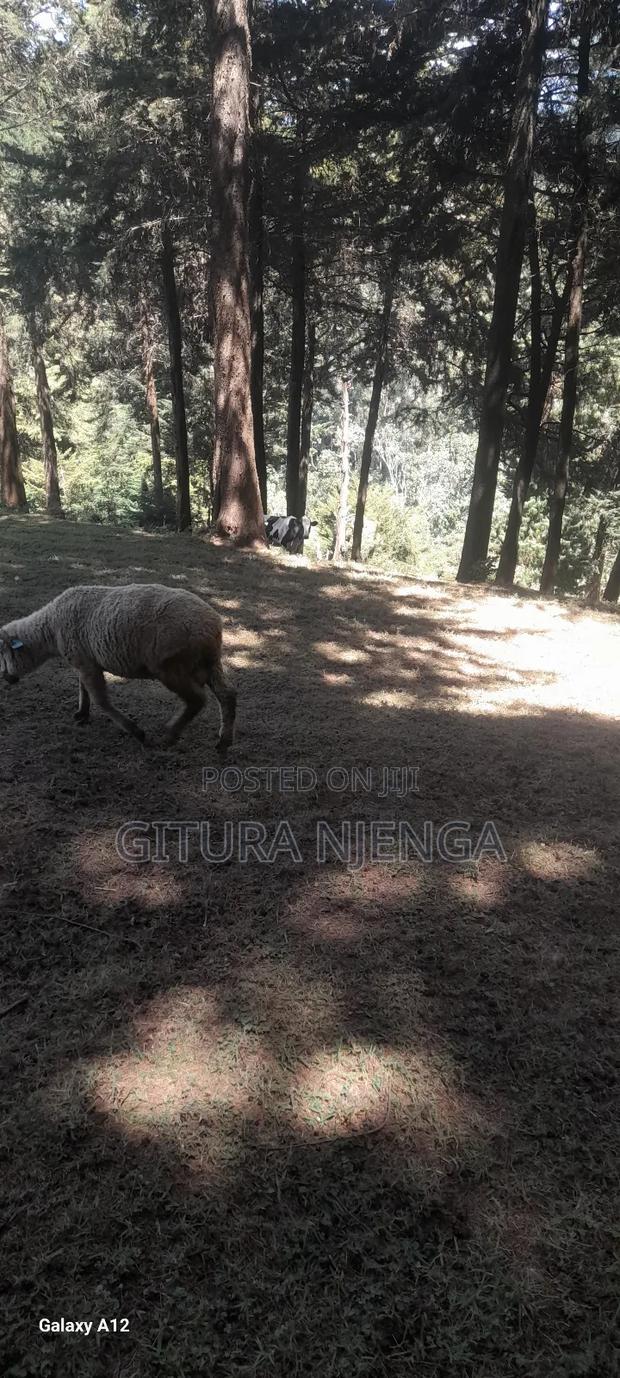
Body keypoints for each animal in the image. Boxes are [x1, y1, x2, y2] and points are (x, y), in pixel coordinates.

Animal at [0, 583, 236, 750]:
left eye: (3, 653)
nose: (6, 678)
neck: (51, 628)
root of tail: (213, 625)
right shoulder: (86, 661)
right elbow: (83, 688)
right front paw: (81, 713)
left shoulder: (86, 663)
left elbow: (101, 700)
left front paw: (136, 731)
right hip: (210, 663)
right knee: (227, 695)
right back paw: (223, 740)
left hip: (170, 667)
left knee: (198, 700)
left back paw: (170, 735)